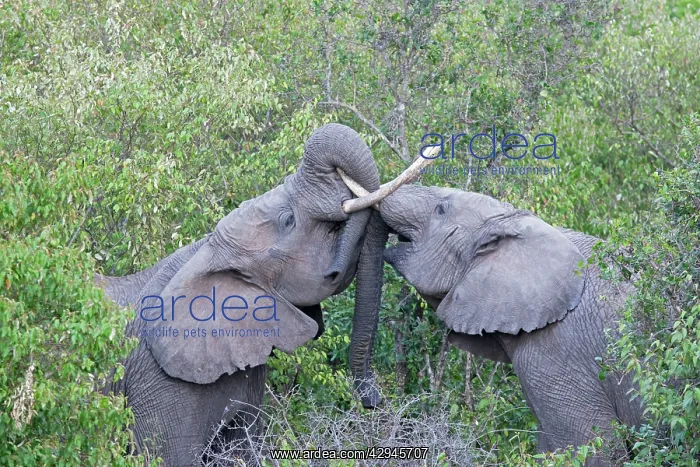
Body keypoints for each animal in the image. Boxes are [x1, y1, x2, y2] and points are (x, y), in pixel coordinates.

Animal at [94, 123, 398, 466]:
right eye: (288, 220)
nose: (373, 400)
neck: (206, 253)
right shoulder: (158, 382)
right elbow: (167, 456)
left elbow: (246, 446)